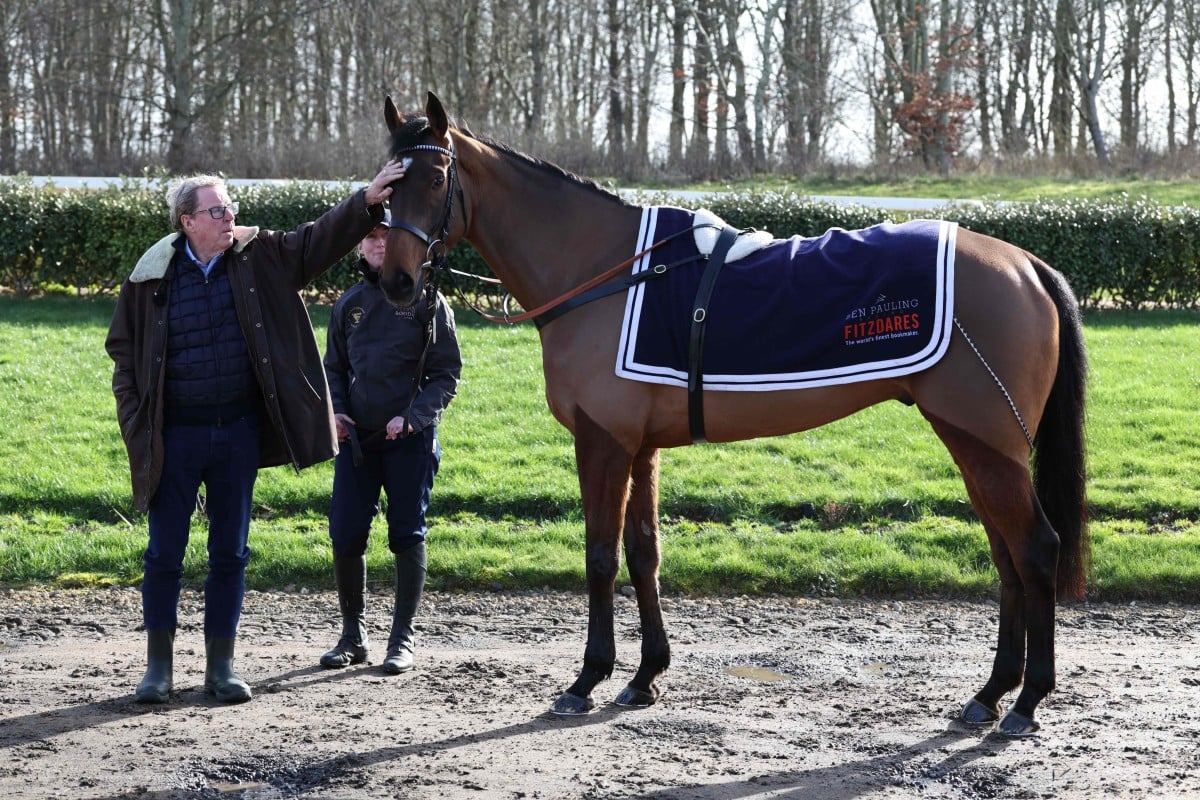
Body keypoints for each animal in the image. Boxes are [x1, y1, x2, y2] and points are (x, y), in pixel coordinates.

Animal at [378, 92, 1089, 737]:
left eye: (435, 178)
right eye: (386, 182)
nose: (397, 282)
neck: (608, 274)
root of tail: (1026, 263)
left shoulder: (603, 441)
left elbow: (601, 555)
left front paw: (587, 679)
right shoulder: (640, 447)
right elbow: (644, 552)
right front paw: (645, 677)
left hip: (988, 444)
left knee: (1035, 549)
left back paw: (1026, 701)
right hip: (975, 443)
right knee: (1007, 557)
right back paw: (991, 693)